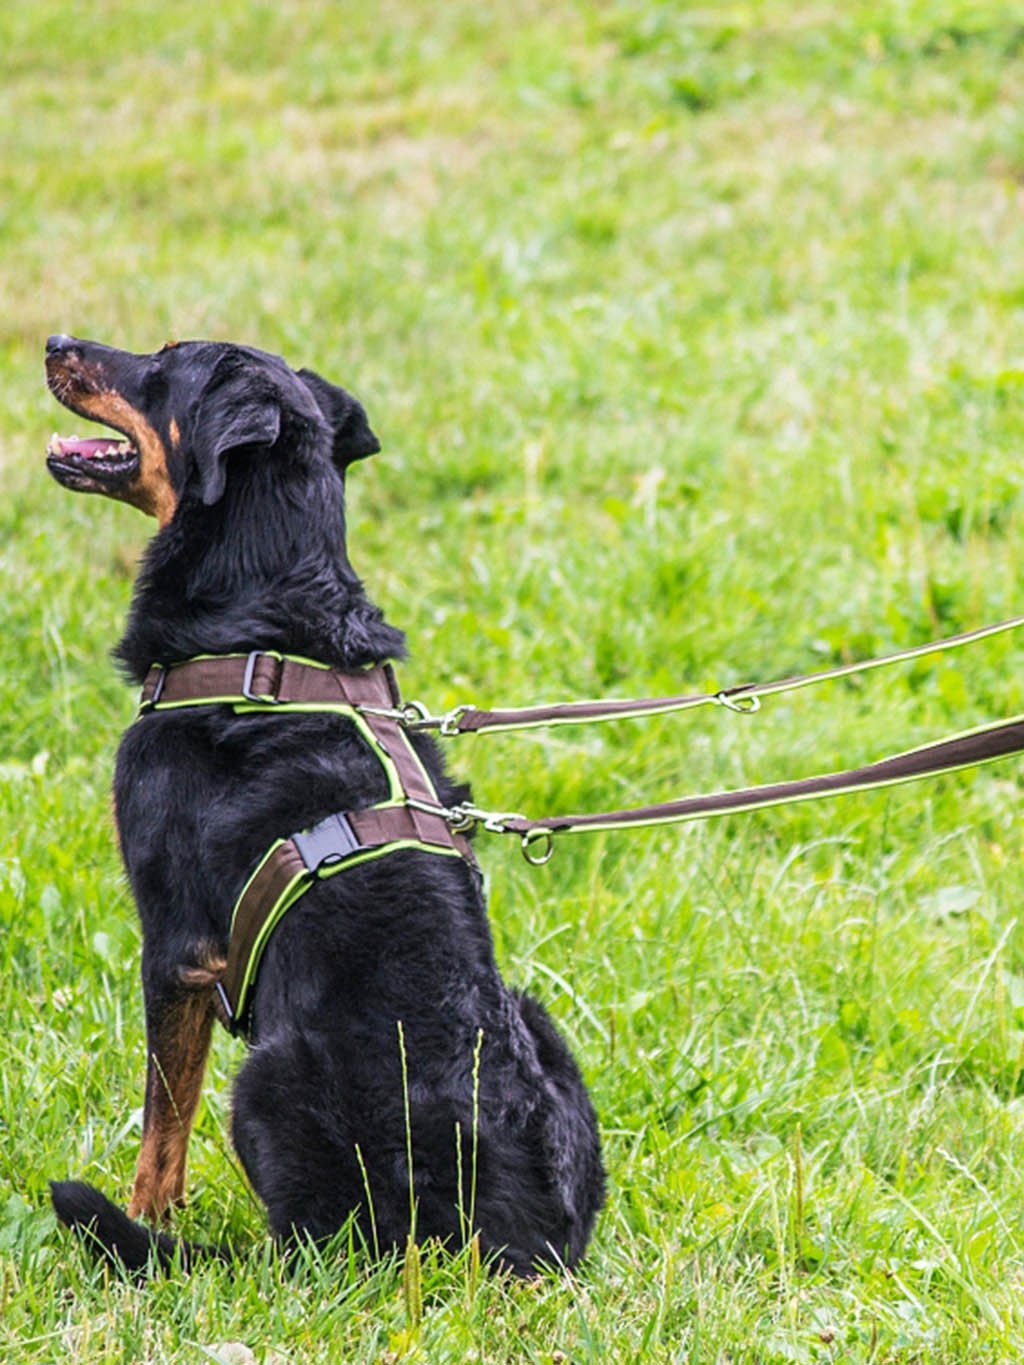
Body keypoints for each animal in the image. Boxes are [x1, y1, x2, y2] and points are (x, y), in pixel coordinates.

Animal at [48, 335, 606, 1272]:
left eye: (163, 361)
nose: (55, 345)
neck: (266, 633)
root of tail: (513, 1243)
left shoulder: (173, 943)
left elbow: (164, 1124)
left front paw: (147, 1219)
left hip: (265, 1084)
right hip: (539, 1019)